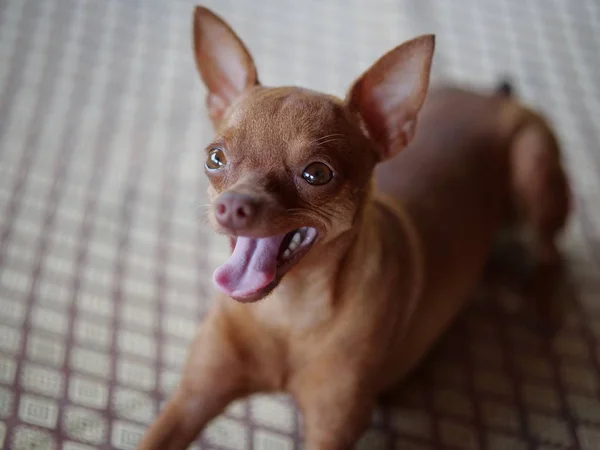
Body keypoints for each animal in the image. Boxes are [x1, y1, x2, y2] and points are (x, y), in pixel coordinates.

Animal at [137, 4, 572, 450]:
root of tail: (492, 94)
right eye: (215, 158)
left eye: (316, 174)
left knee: (551, 251)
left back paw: (541, 299)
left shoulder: (331, 429)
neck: (286, 315)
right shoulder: (193, 398)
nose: (232, 206)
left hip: (533, 164)